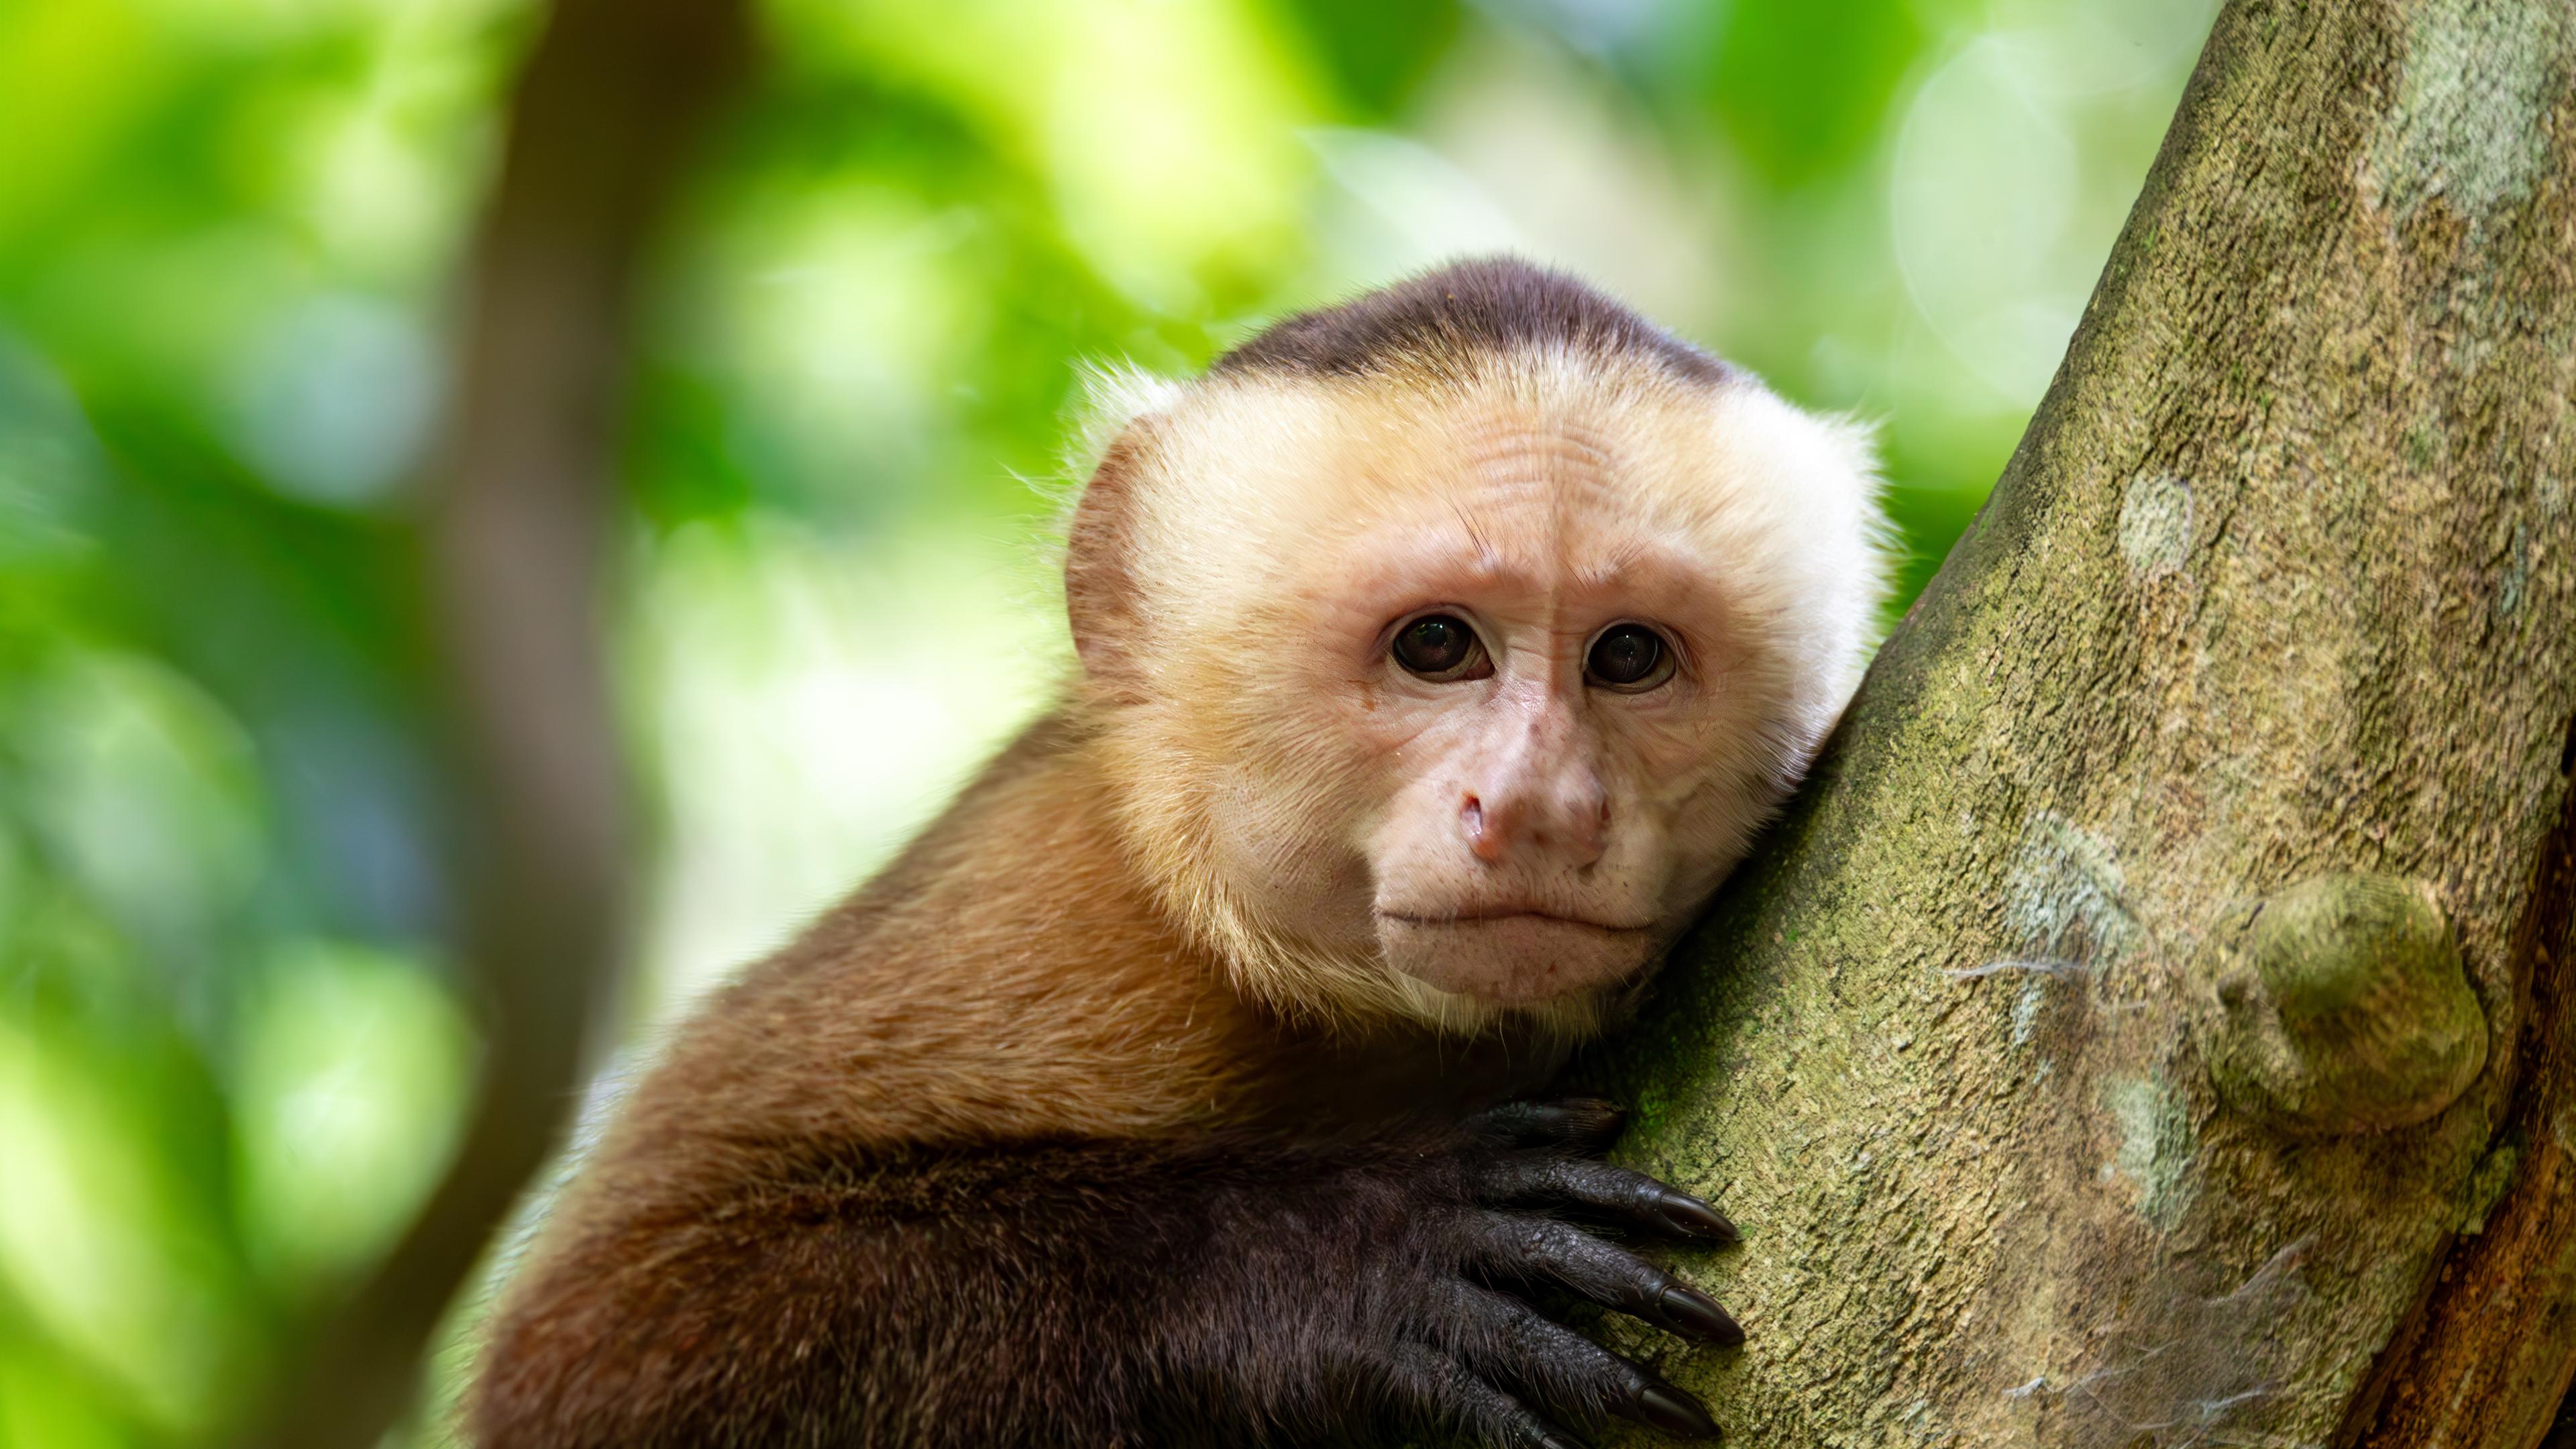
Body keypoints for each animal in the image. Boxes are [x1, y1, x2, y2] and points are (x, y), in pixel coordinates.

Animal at [474, 259, 1896, 1444]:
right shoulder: (1060, 908)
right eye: (1437, 646)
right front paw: (1346, 1266)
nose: (1540, 804)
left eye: (1630, 656)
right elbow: (591, 1351)